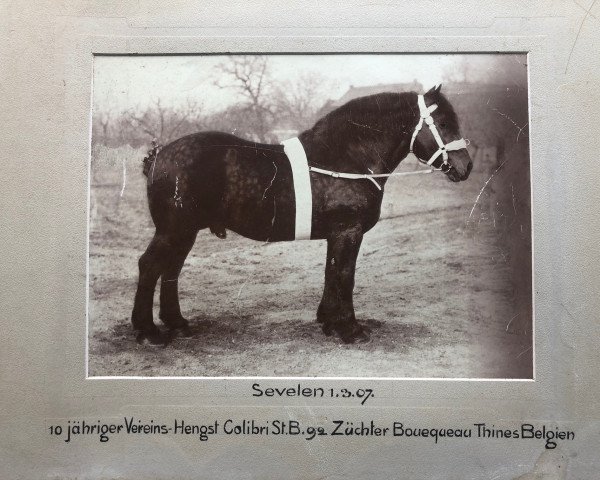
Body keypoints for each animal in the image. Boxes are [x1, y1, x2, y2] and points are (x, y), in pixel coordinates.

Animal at [131, 83, 474, 344]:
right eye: (443, 123)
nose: (466, 166)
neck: (346, 157)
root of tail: (159, 155)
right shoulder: (348, 231)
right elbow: (345, 275)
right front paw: (351, 329)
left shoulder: (337, 234)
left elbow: (330, 273)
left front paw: (329, 322)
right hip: (173, 230)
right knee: (149, 266)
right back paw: (148, 331)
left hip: (185, 232)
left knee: (171, 269)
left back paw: (177, 323)